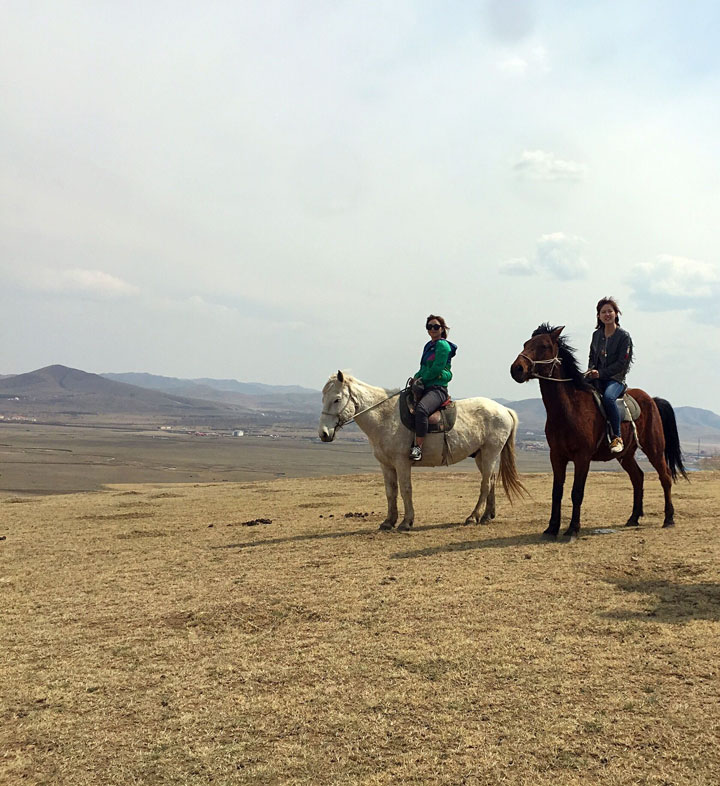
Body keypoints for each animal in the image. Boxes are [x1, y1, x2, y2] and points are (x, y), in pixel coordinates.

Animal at [318, 370, 524, 528]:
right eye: (323, 399)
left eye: (336, 399)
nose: (323, 434)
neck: (385, 416)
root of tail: (504, 410)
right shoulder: (386, 465)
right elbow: (390, 491)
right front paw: (388, 521)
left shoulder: (402, 463)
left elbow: (405, 489)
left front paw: (406, 522)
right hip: (481, 456)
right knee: (491, 480)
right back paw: (487, 515)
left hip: (490, 454)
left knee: (485, 484)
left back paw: (473, 517)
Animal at [512, 322, 688, 536]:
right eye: (526, 343)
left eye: (544, 345)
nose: (516, 369)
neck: (569, 409)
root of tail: (652, 400)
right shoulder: (556, 456)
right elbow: (557, 492)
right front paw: (552, 528)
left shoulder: (582, 457)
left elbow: (577, 492)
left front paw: (573, 529)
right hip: (626, 455)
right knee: (638, 478)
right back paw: (633, 518)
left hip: (654, 449)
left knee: (665, 477)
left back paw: (669, 518)